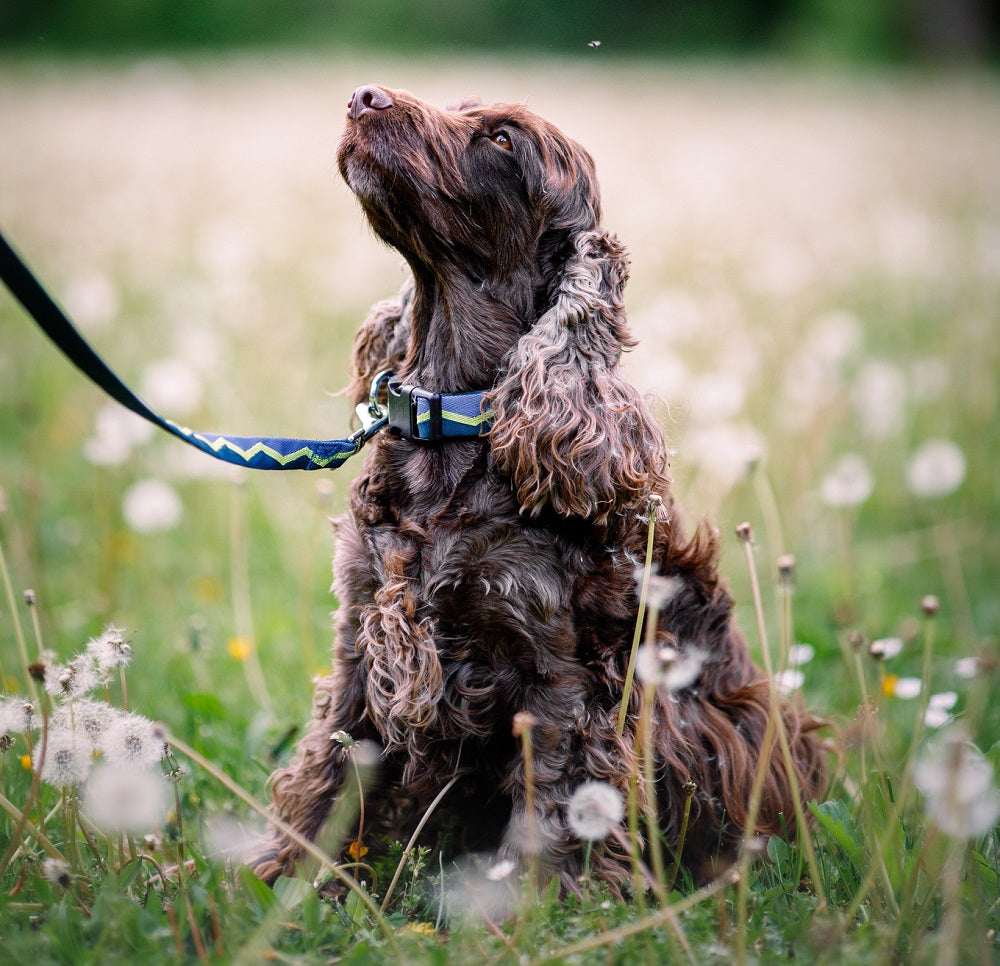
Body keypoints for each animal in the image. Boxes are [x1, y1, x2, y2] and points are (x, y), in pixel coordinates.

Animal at [252, 87, 828, 896]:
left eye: (501, 138)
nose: (364, 97)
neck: (452, 424)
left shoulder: (562, 675)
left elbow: (558, 802)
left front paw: (542, 905)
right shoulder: (363, 639)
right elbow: (326, 777)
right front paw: (279, 884)